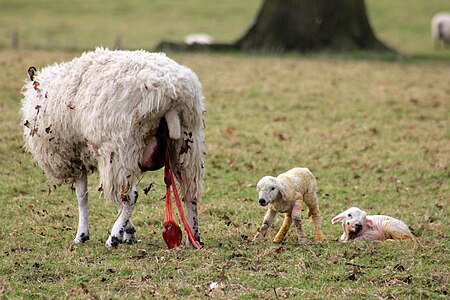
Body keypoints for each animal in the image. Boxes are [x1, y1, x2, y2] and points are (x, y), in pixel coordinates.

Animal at [20, 47, 205, 248]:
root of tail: (171, 92)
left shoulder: (75, 155)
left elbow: (82, 196)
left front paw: (82, 235)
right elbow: (98, 195)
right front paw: (129, 232)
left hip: (121, 147)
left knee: (131, 195)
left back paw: (113, 237)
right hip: (186, 144)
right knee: (190, 192)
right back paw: (193, 238)